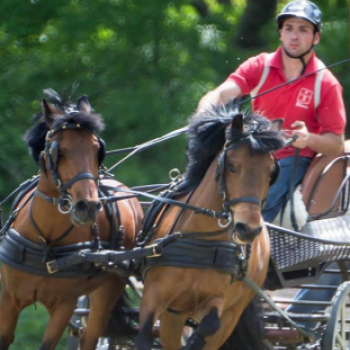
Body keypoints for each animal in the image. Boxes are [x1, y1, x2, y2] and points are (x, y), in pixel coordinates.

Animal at [0, 91, 144, 350]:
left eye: (97, 150)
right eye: (60, 152)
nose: (88, 206)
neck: (46, 240)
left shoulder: (65, 305)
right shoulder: (9, 298)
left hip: (110, 287)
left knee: (90, 337)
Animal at [135, 108, 286, 348]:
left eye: (271, 173)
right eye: (232, 166)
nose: (248, 229)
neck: (201, 240)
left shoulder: (217, 301)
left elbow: (210, 325)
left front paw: (194, 341)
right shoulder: (154, 294)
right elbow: (143, 337)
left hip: (231, 313)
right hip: (173, 314)